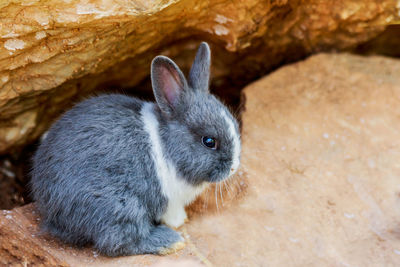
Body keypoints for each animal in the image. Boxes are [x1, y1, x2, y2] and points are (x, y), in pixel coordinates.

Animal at [30, 42, 241, 258]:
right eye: (209, 141)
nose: (234, 167)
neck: (166, 145)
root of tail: (50, 210)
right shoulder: (168, 200)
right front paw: (179, 222)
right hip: (122, 204)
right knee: (118, 241)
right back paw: (171, 241)